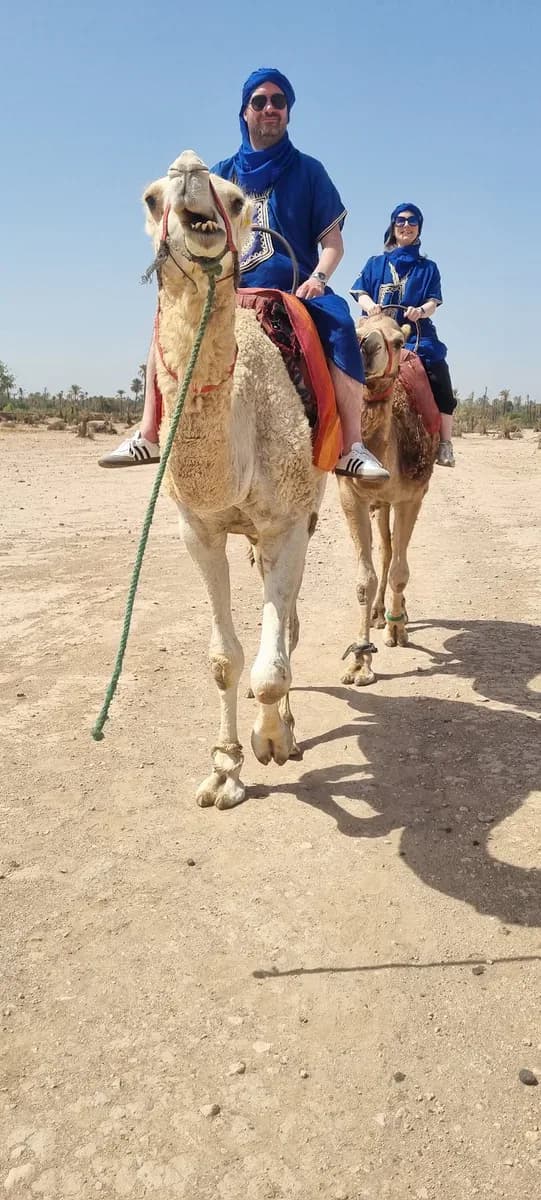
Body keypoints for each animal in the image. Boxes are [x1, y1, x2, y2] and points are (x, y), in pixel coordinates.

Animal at [142, 151, 325, 808]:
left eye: (239, 199)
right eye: (151, 198)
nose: (188, 172)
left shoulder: (287, 523)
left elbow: (271, 666)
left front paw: (270, 741)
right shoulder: (198, 527)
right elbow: (224, 659)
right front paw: (224, 771)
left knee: (289, 623)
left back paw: (288, 728)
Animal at [338, 313, 439, 686]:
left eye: (397, 340)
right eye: (355, 329)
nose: (364, 346)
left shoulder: (412, 497)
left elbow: (400, 570)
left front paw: (397, 632)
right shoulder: (352, 496)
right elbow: (363, 580)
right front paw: (359, 663)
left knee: (395, 553)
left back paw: (397, 616)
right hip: (379, 504)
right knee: (386, 547)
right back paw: (380, 613)